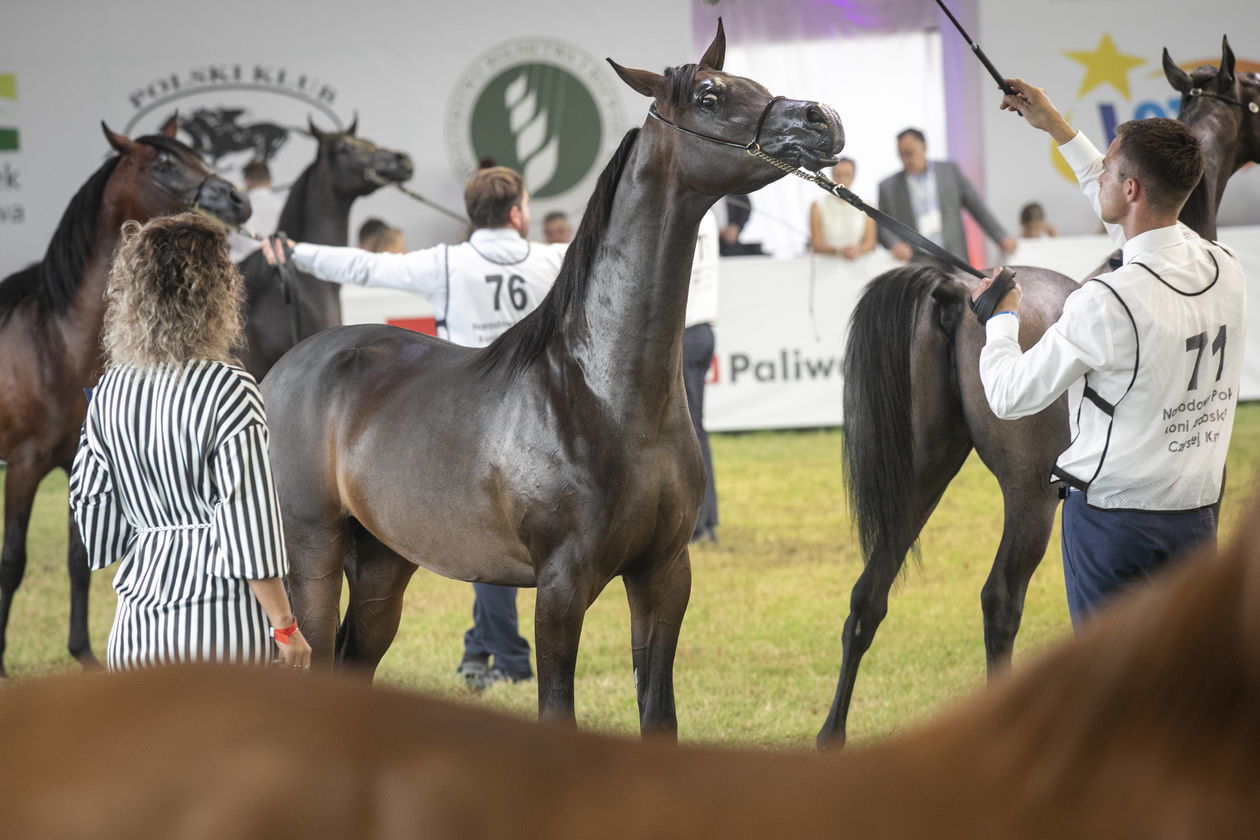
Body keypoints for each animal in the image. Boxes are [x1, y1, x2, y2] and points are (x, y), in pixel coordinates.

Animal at [816, 39, 1260, 750]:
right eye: (1255, 92)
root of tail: (957, 287)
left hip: (922, 470)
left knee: (867, 597)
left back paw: (832, 734)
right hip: (1028, 495)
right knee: (1000, 600)